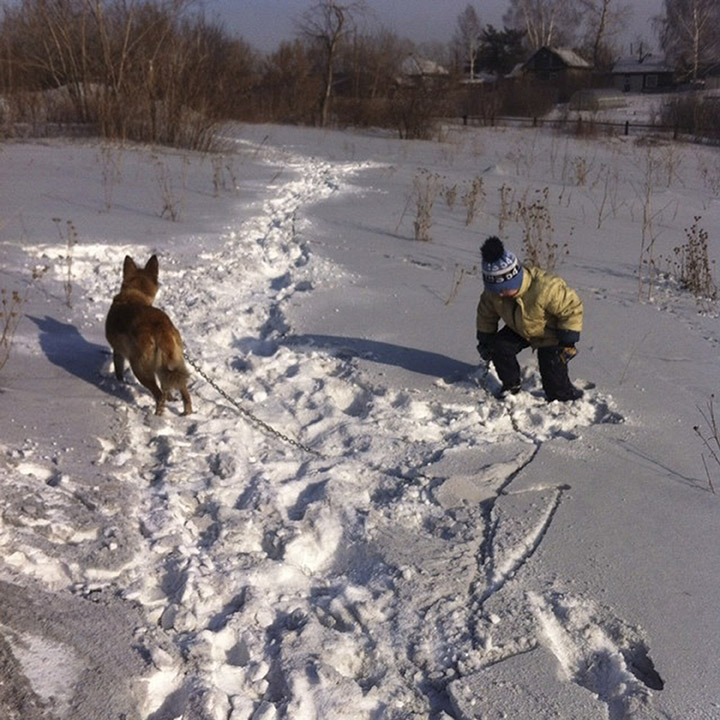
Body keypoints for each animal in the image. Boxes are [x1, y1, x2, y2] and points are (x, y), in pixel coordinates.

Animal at [105, 256, 191, 416]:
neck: (134, 294)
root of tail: (161, 328)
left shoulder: (118, 351)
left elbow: (119, 370)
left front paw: (120, 383)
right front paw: (171, 398)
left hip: (140, 367)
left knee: (159, 395)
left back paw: (157, 415)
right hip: (175, 363)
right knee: (183, 392)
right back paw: (186, 413)